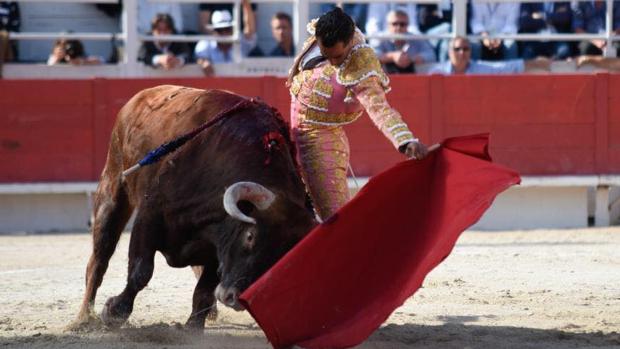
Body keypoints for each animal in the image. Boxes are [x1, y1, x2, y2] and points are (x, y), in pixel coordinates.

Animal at [70, 85, 318, 328]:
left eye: (283, 255)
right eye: (250, 236)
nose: (233, 298)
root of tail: (139, 97)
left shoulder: (218, 249)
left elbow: (204, 290)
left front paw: (193, 326)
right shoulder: (149, 216)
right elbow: (141, 271)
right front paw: (114, 312)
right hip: (112, 189)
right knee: (99, 259)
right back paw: (83, 317)